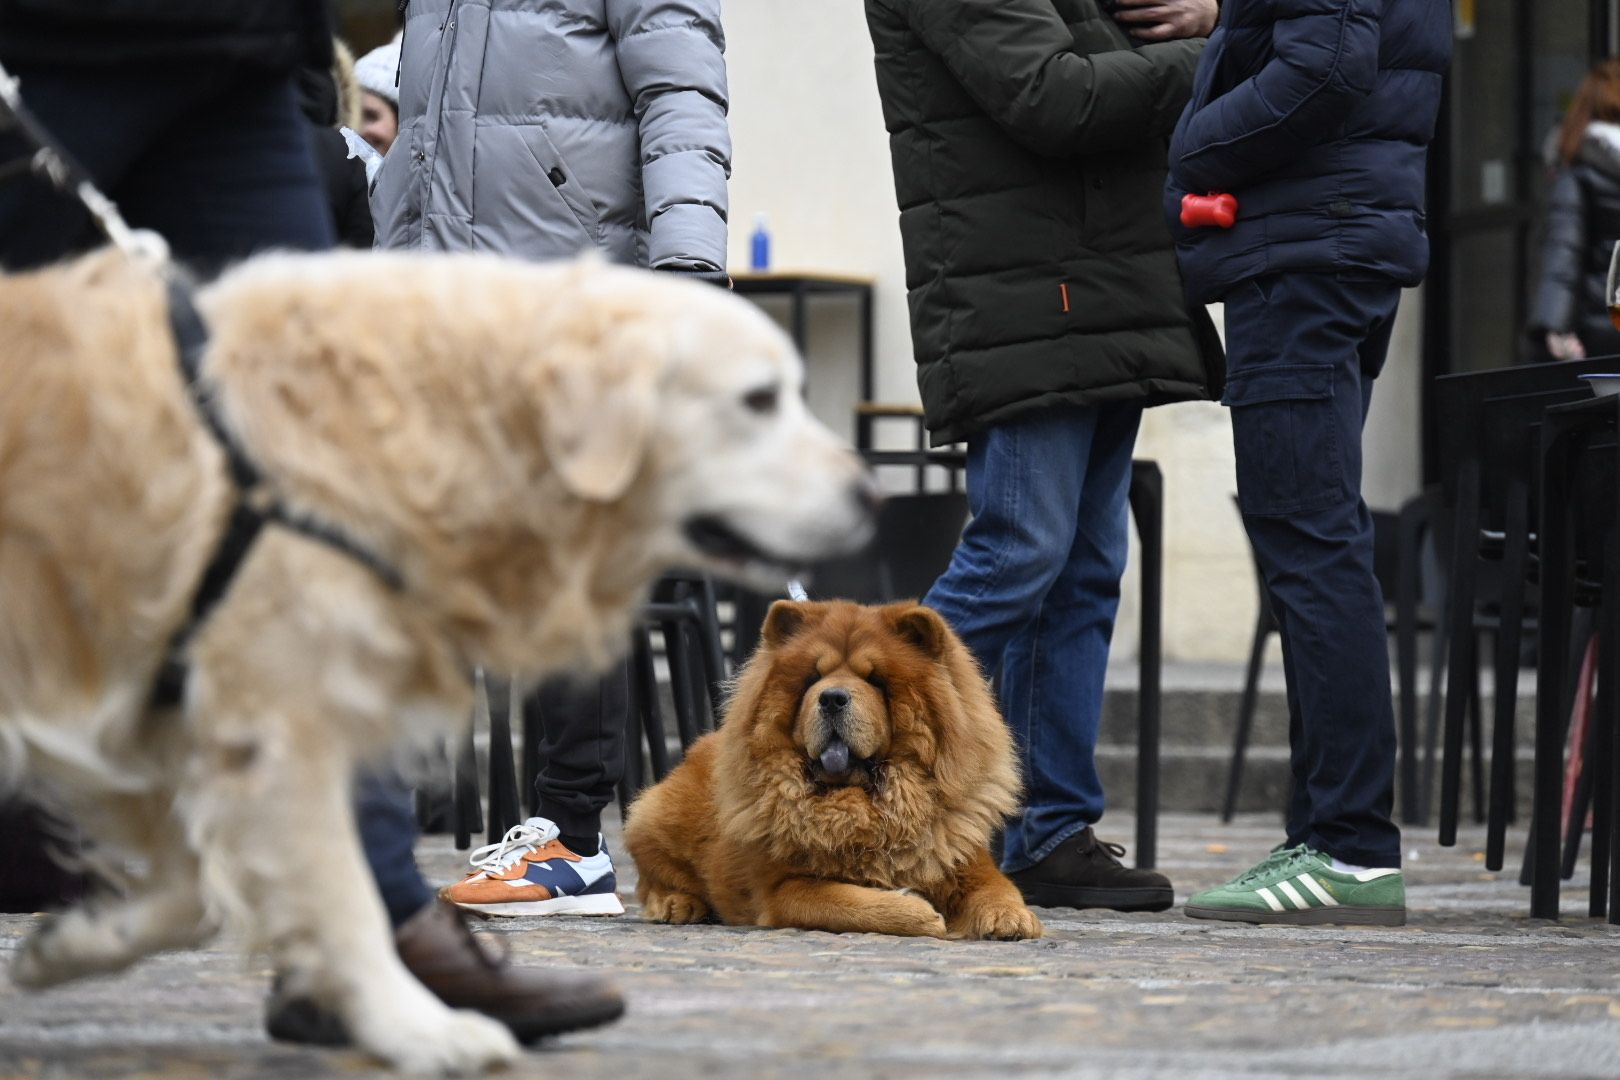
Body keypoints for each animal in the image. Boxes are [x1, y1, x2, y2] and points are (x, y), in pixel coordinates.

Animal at [625, 595, 1043, 939]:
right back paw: (678, 904)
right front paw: (917, 912)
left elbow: (997, 887)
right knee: (652, 876)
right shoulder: (784, 888)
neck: (866, 806)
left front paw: (1012, 918)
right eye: (814, 678)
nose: (831, 697)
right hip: (652, 815)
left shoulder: (961, 856)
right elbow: (849, 902)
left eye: (876, 680)